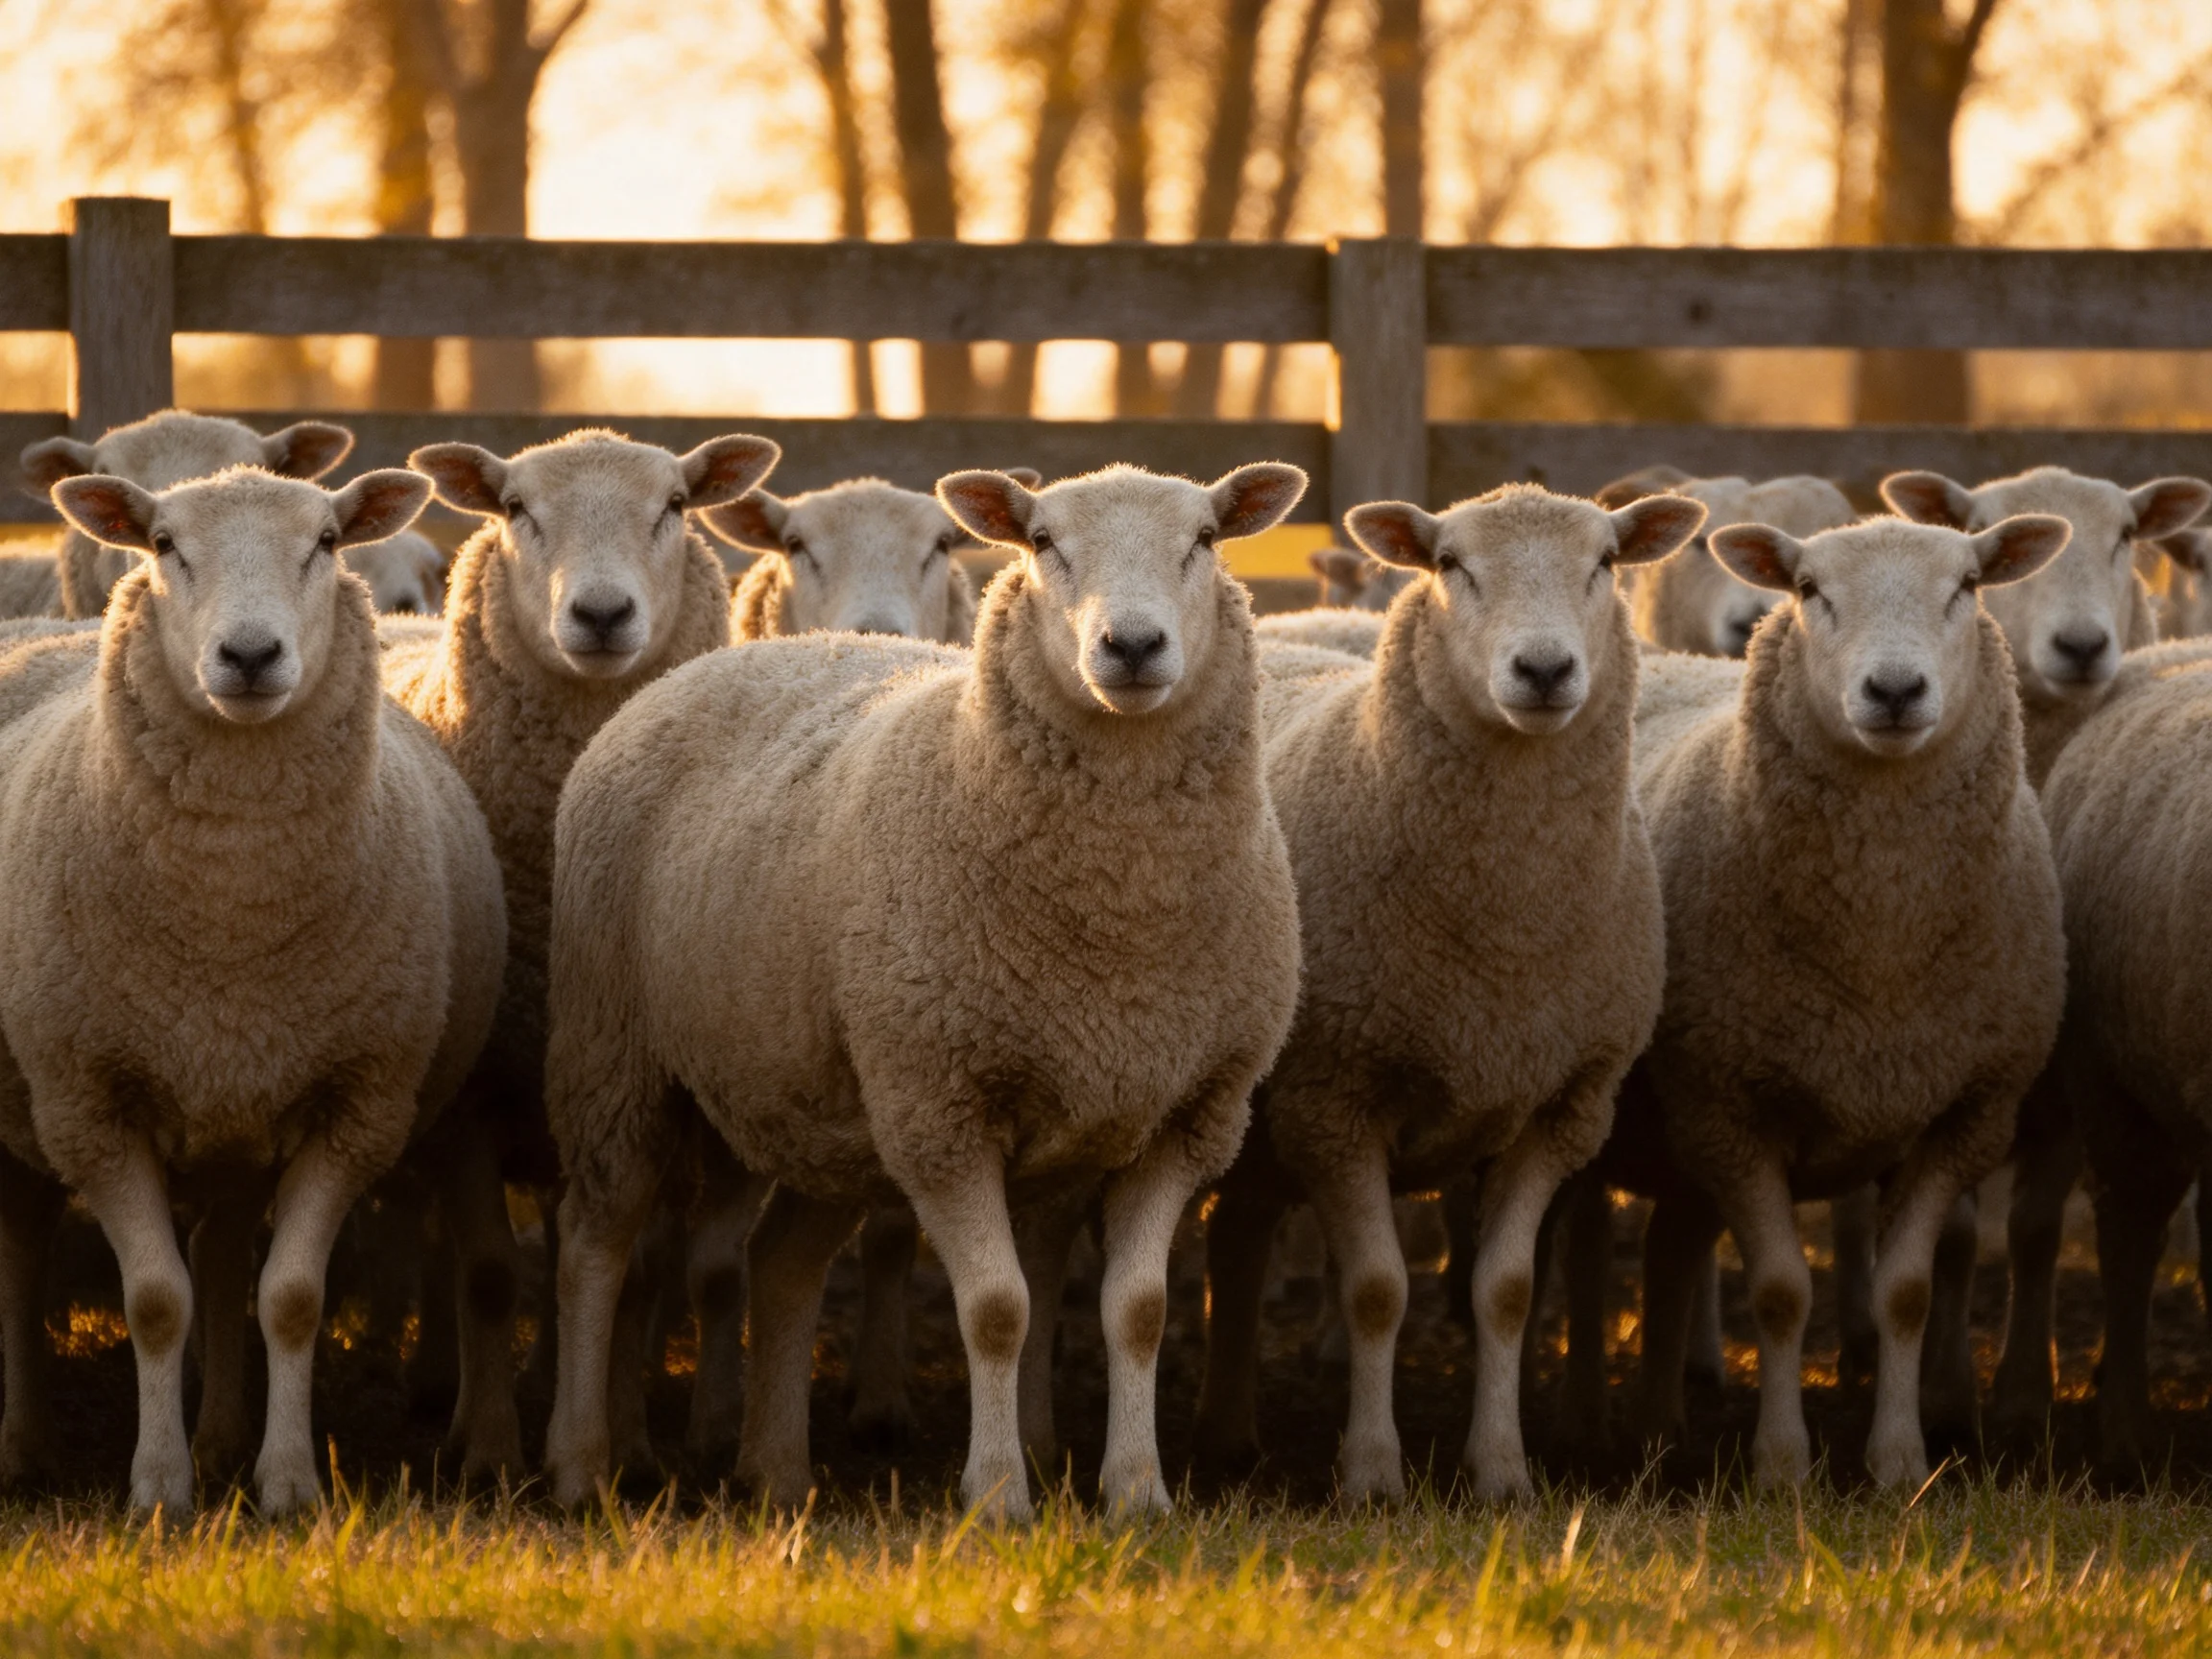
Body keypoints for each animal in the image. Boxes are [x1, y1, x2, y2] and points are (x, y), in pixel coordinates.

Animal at [0, 463, 504, 1513]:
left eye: (326, 541)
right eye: (163, 544)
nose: (249, 654)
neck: (232, 918)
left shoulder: (356, 1103)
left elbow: (290, 1298)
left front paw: (287, 1485)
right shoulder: (88, 1103)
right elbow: (155, 1302)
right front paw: (159, 1487)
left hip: (231, 1107)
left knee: (225, 1253)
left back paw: (225, 1437)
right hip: (30, 1109)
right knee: (21, 1261)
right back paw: (26, 1447)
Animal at [386, 425, 781, 1478]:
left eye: (674, 507)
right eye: (516, 509)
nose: (602, 614)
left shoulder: (633, 1080)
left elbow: (638, 1276)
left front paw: (631, 1446)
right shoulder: (472, 1090)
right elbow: (486, 1273)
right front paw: (490, 1452)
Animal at [541, 461, 1308, 1520]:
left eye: (1203, 540)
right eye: (1043, 542)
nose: (1132, 646)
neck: (1119, 928)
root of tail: (713, 665)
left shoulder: (1190, 1111)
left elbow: (1140, 1311)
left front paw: (1138, 1495)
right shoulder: (944, 1110)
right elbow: (996, 1310)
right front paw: (998, 1496)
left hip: (830, 1106)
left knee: (783, 1265)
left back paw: (776, 1473)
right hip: (616, 1052)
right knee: (596, 1244)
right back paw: (583, 1468)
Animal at [1193, 482, 1703, 1500]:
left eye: (1604, 563)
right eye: (1450, 566)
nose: (1543, 669)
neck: (1501, 937)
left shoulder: (1559, 1106)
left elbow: (1506, 1293)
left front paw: (1503, 1471)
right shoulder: (1333, 1100)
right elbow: (1378, 1290)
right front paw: (1372, 1474)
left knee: (1237, 1237)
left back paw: (1229, 1433)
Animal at [1572, 510, 2071, 1490]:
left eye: (1966, 585)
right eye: (1809, 590)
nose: (1894, 689)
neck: (1880, 948)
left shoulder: (1963, 1112)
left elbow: (1904, 1294)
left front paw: (1900, 1464)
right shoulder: (1729, 1109)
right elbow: (1779, 1291)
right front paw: (1780, 1466)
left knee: (1670, 1251)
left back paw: (1660, 1432)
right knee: (1577, 1264)